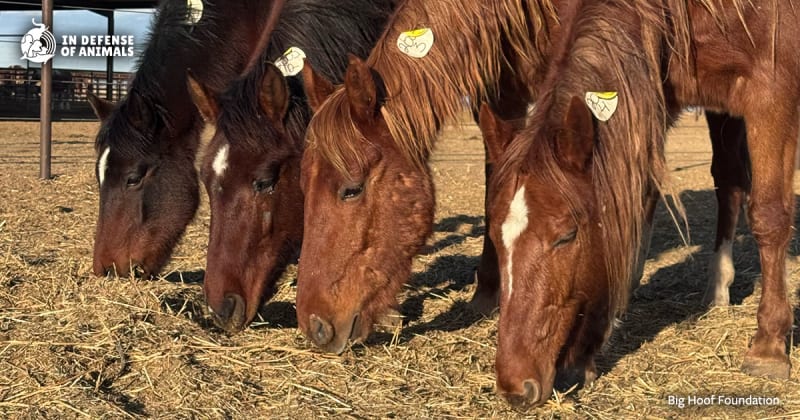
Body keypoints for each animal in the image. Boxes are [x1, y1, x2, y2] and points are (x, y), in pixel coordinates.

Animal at [486, 0, 797, 406]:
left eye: (566, 235)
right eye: (494, 238)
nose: (515, 387)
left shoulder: (772, 93)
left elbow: (769, 215)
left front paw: (769, 347)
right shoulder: (655, 96)